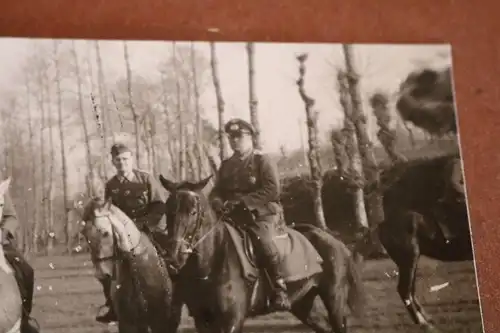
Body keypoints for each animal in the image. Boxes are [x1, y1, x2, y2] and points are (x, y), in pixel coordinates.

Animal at [158, 175, 366, 332]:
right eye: (167, 210)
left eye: (193, 212)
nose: (174, 256)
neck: (212, 263)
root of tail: (336, 242)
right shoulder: (203, 320)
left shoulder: (232, 320)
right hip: (303, 305)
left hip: (335, 300)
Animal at [360, 154, 472, 330]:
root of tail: (382, 224)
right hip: (409, 258)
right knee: (404, 290)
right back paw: (424, 323)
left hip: (410, 260)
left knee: (410, 290)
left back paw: (427, 319)